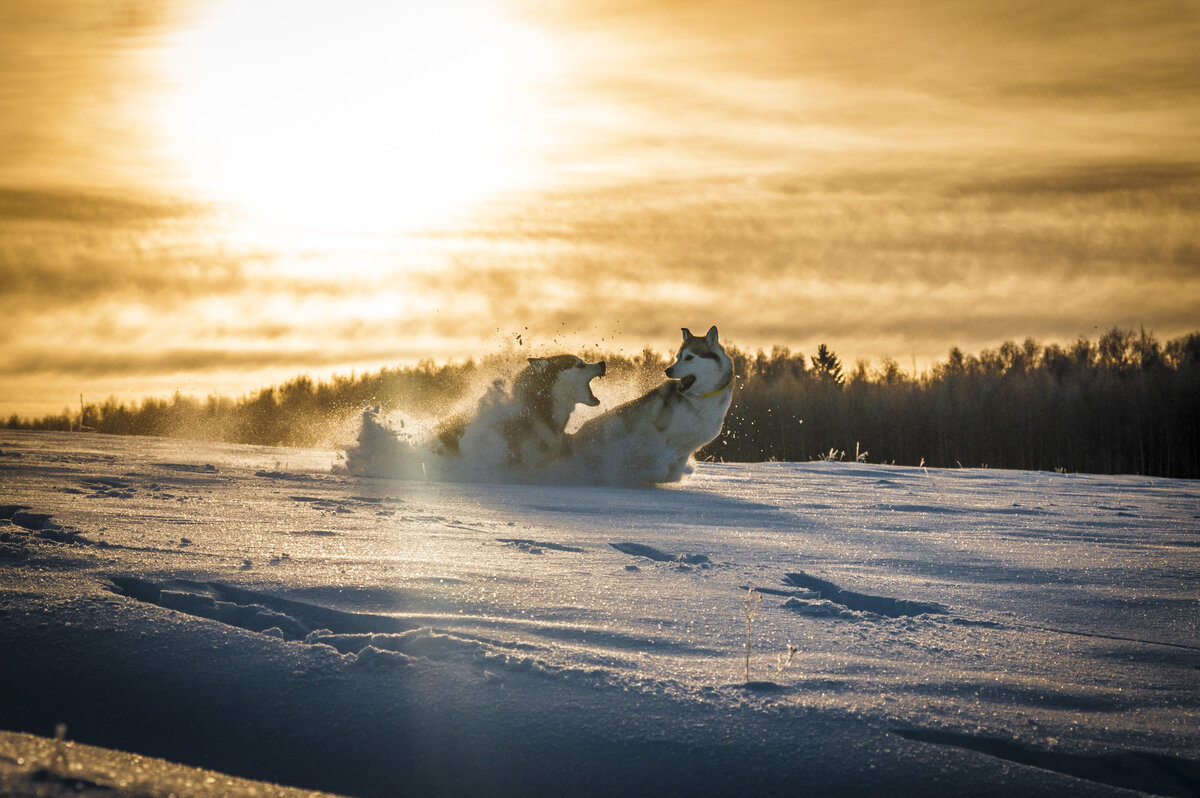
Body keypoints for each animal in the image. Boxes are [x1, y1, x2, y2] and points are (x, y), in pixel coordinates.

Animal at [571, 326, 729, 484]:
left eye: (689, 357)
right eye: (678, 357)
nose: (668, 370)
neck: (699, 402)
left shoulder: (688, 447)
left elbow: (674, 471)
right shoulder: (655, 436)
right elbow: (658, 461)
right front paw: (650, 473)